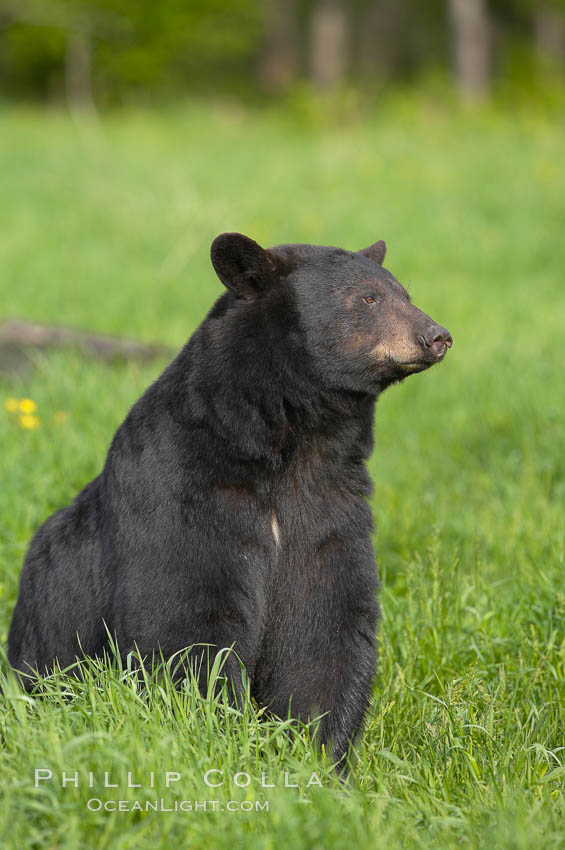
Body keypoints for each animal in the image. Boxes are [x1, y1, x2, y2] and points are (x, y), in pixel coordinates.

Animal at [7, 234, 450, 760]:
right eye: (367, 298)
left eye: (404, 292)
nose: (438, 335)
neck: (288, 445)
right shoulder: (188, 492)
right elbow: (189, 620)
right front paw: (218, 738)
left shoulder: (328, 507)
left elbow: (324, 625)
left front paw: (316, 751)